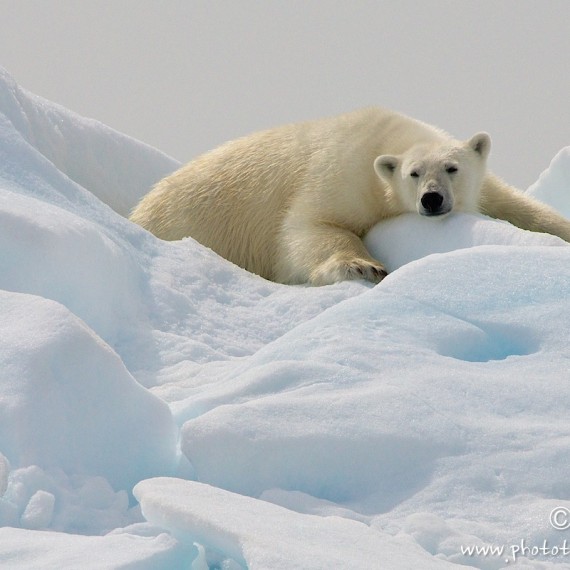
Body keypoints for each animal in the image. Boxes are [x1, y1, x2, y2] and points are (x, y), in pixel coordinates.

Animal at [129, 106, 568, 284]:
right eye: (413, 173)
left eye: (452, 168)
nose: (431, 199)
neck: (388, 138)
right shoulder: (344, 173)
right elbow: (310, 225)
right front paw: (363, 267)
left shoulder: (483, 188)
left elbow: (519, 208)